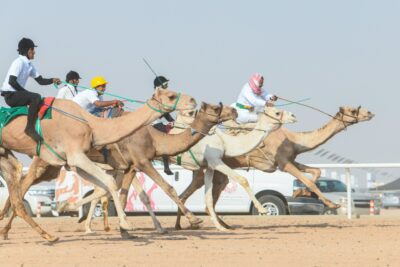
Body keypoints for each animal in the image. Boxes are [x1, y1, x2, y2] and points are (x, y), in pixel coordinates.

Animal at [0, 101, 236, 238]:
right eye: (216, 108)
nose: (234, 110)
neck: (154, 138)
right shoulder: (142, 161)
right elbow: (167, 188)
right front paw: (194, 219)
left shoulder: (130, 167)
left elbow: (128, 195)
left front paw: (129, 229)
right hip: (46, 163)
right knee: (23, 185)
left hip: (54, 165)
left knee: (20, 183)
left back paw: (7, 228)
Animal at [175, 106, 376, 230]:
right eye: (353, 110)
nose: (370, 113)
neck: (295, 140)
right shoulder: (284, 163)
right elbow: (309, 181)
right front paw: (332, 203)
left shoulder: (290, 160)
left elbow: (316, 172)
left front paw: (300, 193)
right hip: (208, 168)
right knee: (190, 194)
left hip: (213, 171)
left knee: (197, 195)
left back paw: (192, 225)